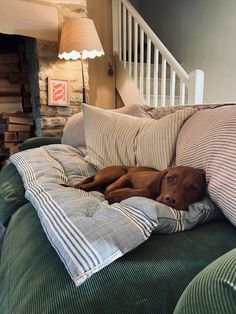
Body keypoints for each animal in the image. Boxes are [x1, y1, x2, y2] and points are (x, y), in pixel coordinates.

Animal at [73, 166, 206, 210]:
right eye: (170, 178)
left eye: (194, 188)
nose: (170, 200)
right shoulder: (128, 176)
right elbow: (113, 188)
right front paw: (112, 194)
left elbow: (139, 192)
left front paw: (116, 195)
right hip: (117, 172)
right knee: (84, 185)